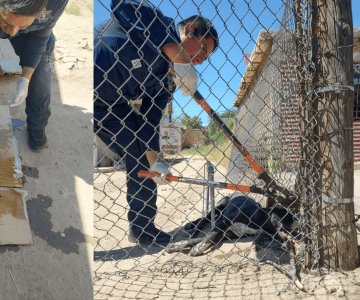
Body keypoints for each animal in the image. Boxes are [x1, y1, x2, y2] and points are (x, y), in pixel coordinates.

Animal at [167, 195, 298, 255]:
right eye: (290, 216)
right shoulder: (223, 222)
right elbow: (208, 236)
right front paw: (197, 248)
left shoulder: (227, 234)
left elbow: (203, 239)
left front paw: (177, 246)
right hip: (220, 205)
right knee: (204, 219)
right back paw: (192, 226)